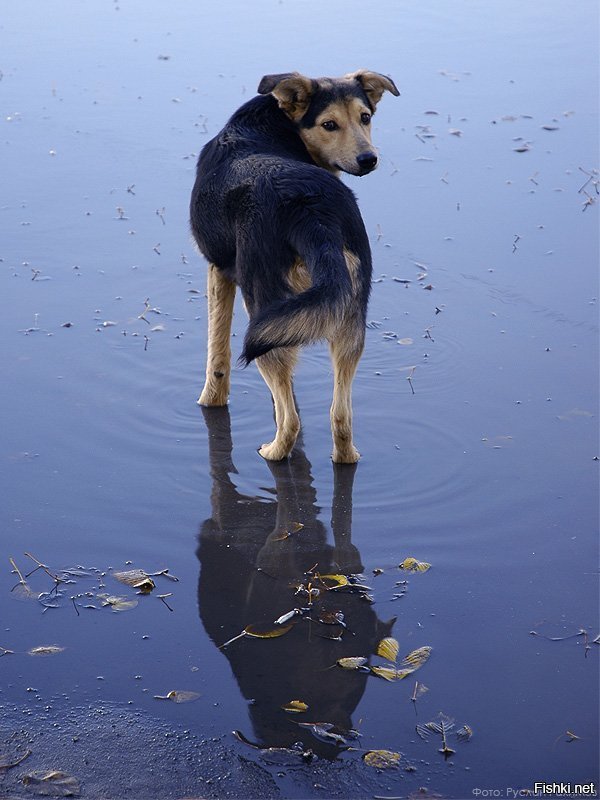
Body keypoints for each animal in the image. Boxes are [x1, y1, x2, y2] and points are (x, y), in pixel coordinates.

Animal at [190, 70, 399, 463]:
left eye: (365, 118)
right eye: (329, 124)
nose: (368, 159)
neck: (273, 125)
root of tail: (309, 209)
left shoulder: (218, 270)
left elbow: (217, 355)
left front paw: (209, 401)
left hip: (262, 310)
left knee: (290, 421)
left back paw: (272, 451)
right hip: (346, 316)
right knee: (340, 416)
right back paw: (345, 456)